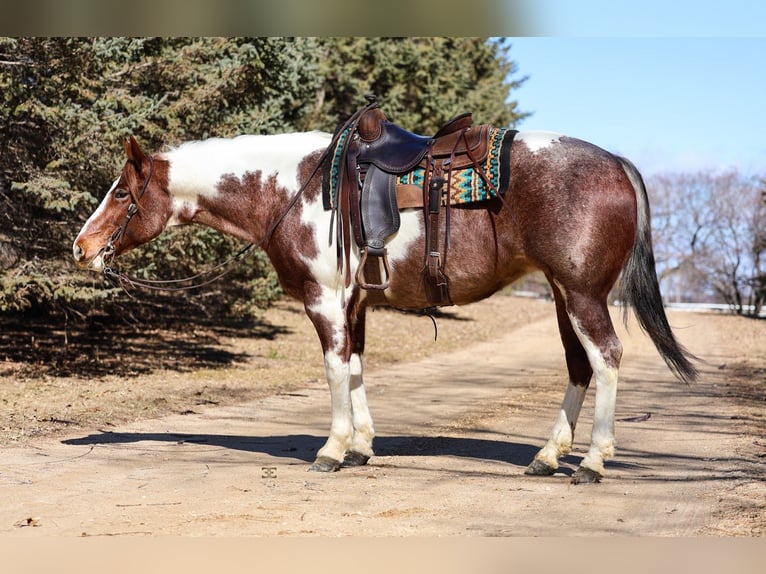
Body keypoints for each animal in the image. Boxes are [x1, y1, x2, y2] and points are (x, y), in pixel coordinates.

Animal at [72, 121, 697, 484]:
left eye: (122, 193)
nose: (81, 248)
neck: (292, 189)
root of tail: (617, 162)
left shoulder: (325, 301)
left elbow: (332, 370)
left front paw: (332, 448)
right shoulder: (354, 305)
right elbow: (354, 369)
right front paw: (361, 447)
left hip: (583, 295)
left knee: (607, 359)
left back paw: (591, 461)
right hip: (564, 295)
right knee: (578, 366)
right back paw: (547, 457)